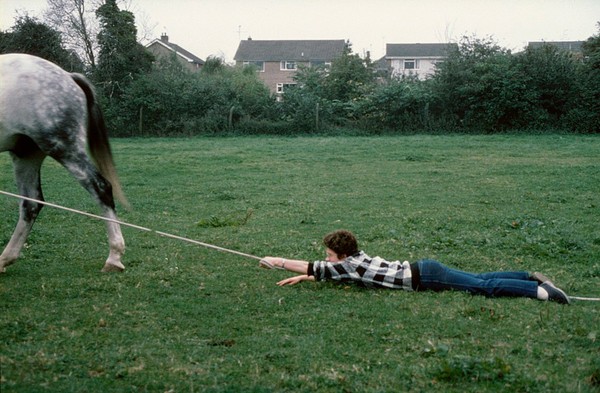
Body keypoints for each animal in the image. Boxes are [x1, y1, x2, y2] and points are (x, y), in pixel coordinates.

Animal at [0, 52, 127, 272]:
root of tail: (68, 76)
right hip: (27, 155)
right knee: (31, 204)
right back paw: (6, 258)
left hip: (64, 148)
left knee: (101, 187)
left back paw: (114, 257)